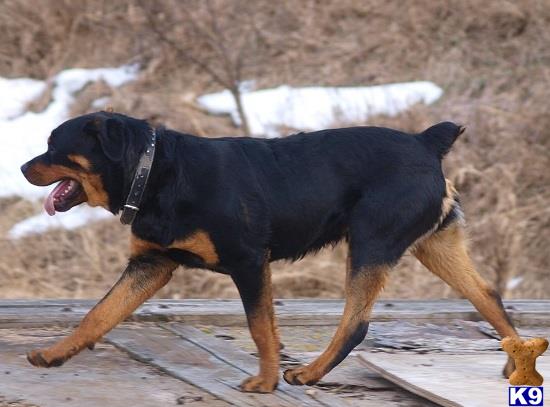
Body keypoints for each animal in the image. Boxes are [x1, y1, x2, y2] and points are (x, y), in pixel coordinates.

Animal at [21, 113, 520, 394]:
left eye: (53, 146)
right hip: (435, 245)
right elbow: (99, 314)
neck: (156, 172)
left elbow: (261, 327)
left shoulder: (248, 262)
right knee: (488, 296)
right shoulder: (151, 264)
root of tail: (425, 141)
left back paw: (310, 373)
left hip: (371, 243)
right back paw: (515, 363)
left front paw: (265, 382)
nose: (23, 166)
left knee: (356, 323)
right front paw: (54, 354)